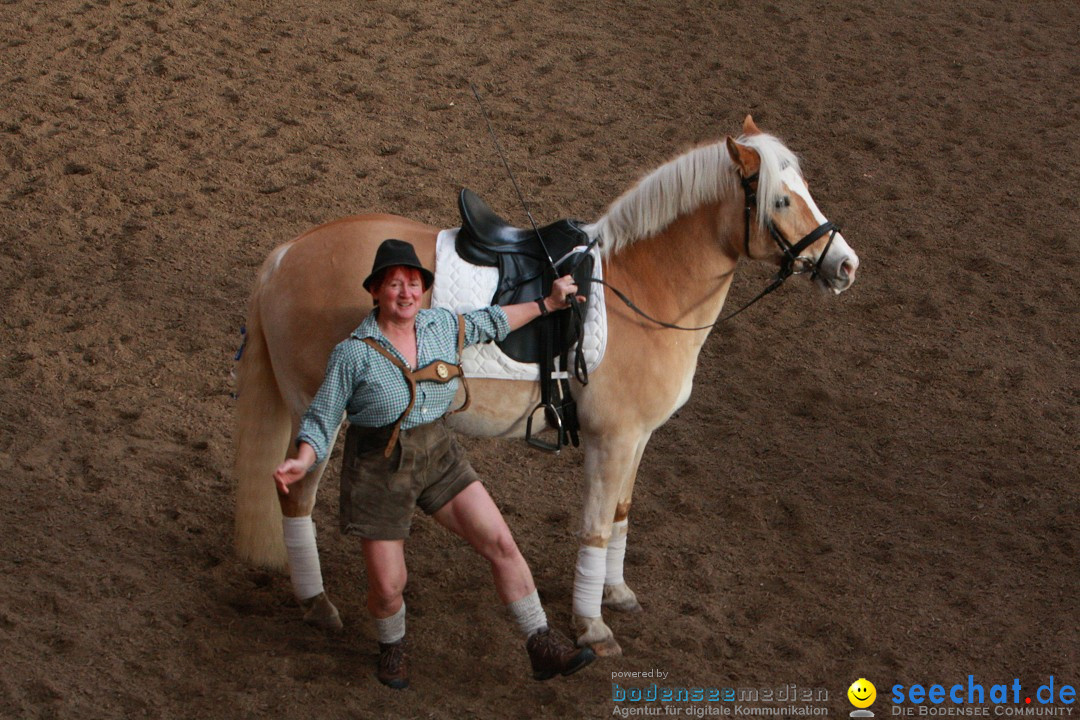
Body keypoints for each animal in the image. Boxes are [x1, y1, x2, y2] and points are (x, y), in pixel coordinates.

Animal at [234, 113, 859, 660]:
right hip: (320, 413)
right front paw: (591, 626)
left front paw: (616, 594)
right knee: (295, 498)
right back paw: (317, 604)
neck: (644, 288)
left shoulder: (638, 439)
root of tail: (287, 253)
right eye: (780, 200)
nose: (846, 265)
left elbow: (621, 514)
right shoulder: (613, 440)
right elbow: (595, 529)